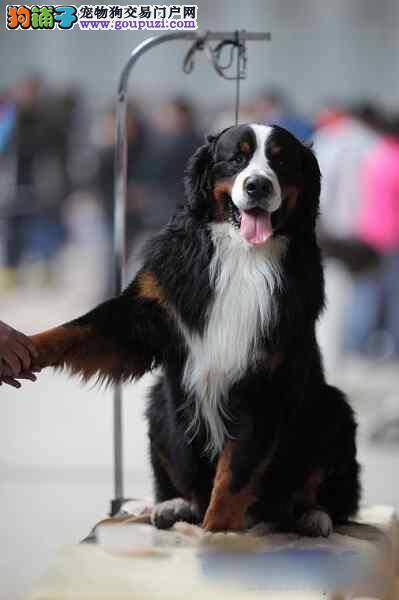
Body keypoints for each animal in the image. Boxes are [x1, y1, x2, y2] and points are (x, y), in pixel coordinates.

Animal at [28, 124, 360, 536]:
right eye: (236, 157)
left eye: (280, 161)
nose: (257, 186)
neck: (242, 258)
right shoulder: (147, 310)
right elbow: (76, 330)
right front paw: (23, 348)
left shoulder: (263, 381)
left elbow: (234, 475)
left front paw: (216, 536)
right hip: (159, 406)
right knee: (183, 483)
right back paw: (171, 506)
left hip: (333, 411)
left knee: (333, 498)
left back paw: (313, 516)